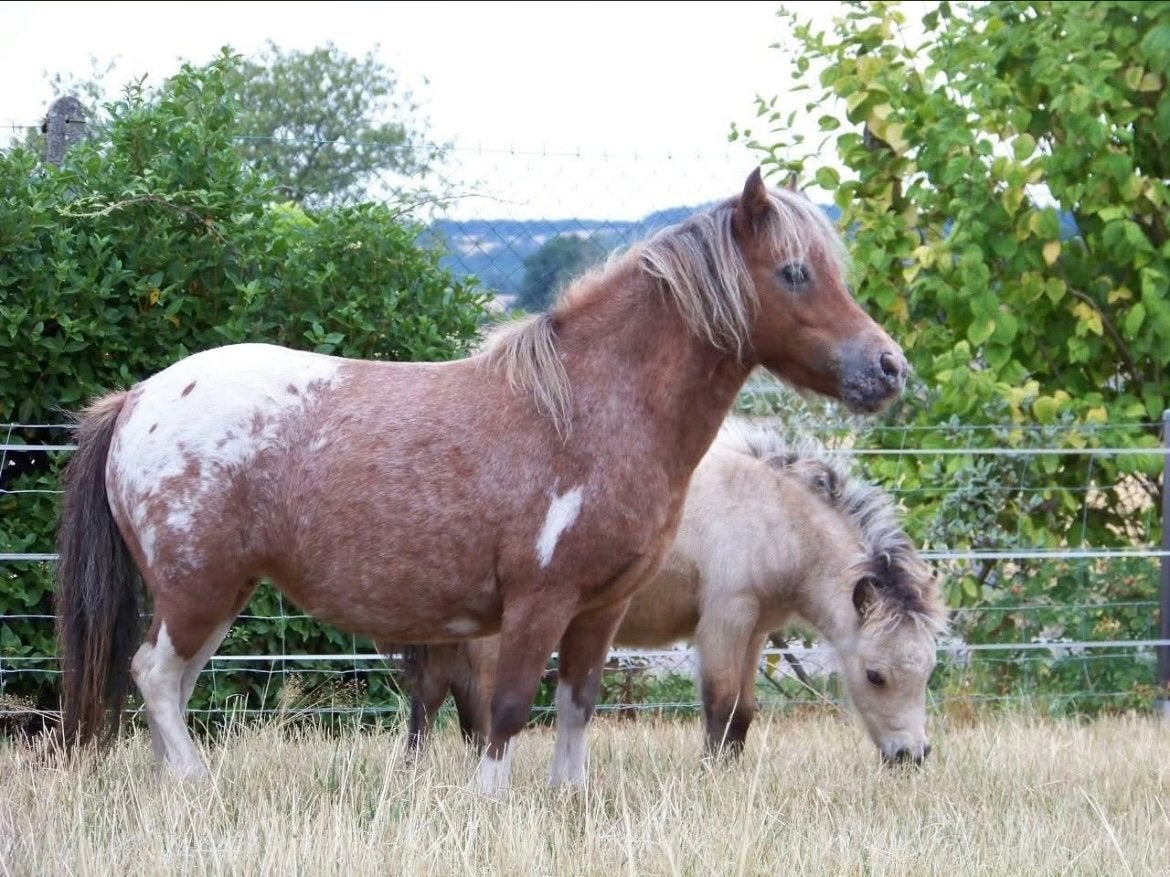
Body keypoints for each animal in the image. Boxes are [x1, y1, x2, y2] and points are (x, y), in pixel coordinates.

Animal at [402, 423, 948, 764]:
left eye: (927, 670)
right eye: (875, 675)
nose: (913, 755)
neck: (774, 518)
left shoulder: (754, 632)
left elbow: (743, 712)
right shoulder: (726, 620)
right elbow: (720, 704)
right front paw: (709, 776)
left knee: (431, 696)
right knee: (475, 701)